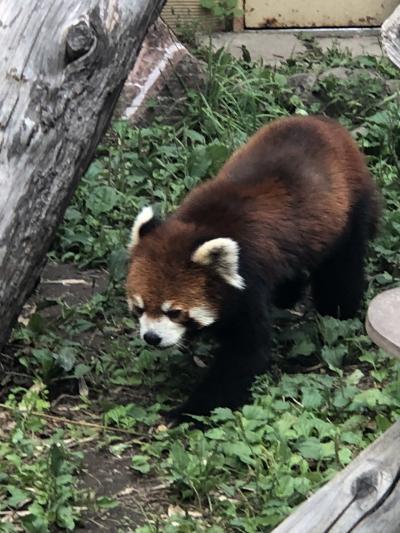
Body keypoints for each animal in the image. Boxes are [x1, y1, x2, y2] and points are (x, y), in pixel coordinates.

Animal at [126, 115, 380, 420]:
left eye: (174, 312)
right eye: (139, 308)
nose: (151, 338)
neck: (202, 226)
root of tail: (325, 123)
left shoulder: (249, 280)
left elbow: (246, 354)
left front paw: (189, 412)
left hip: (349, 209)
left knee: (342, 269)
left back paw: (338, 312)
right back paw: (288, 296)